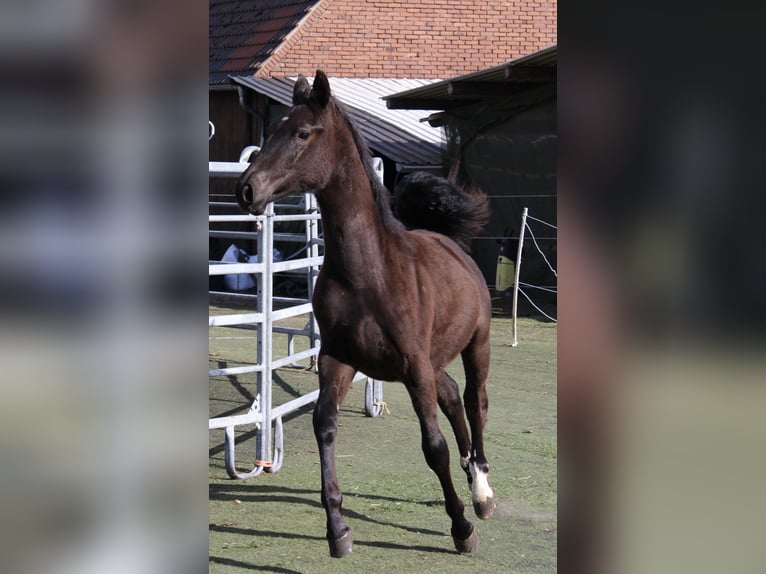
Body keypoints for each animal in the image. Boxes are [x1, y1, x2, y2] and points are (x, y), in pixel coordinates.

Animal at [235, 70, 495, 558]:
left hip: (477, 345)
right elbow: (324, 426)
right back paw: (472, 478)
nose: (246, 189)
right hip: (434, 361)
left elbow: (433, 446)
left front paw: (461, 527)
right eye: (272, 129)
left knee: (475, 402)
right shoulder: (339, 360)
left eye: (302, 133)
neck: (369, 274)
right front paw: (338, 530)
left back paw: (483, 494)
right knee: (453, 397)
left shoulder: (414, 366)